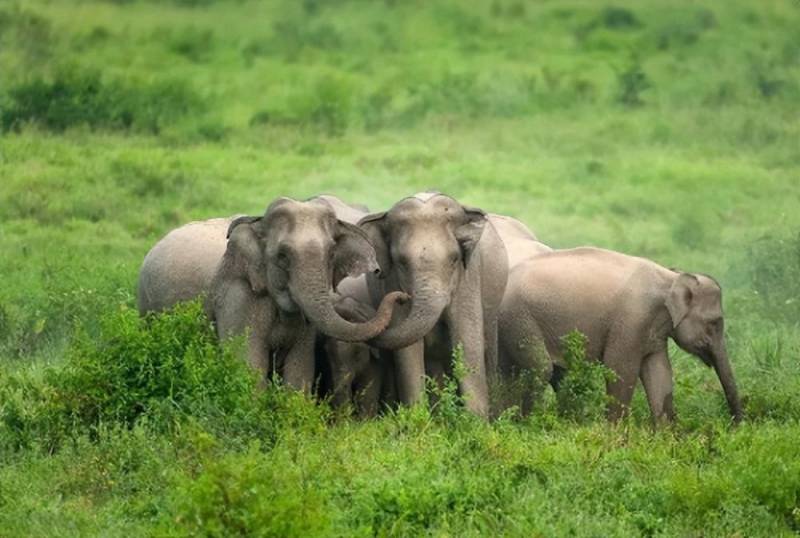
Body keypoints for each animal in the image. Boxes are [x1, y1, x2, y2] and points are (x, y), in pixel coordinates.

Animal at [360, 191, 510, 416]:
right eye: (401, 263)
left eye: (454, 259)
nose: (400, 297)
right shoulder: (392, 280)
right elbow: (408, 349)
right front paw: (416, 418)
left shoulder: (469, 276)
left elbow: (467, 338)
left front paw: (474, 421)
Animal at [496, 247, 748, 422]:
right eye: (715, 323)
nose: (736, 425)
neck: (670, 277)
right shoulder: (632, 321)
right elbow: (620, 368)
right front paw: (614, 437)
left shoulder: (653, 331)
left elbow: (659, 373)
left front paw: (667, 439)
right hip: (519, 317)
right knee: (541, 369)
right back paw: (527, 423)